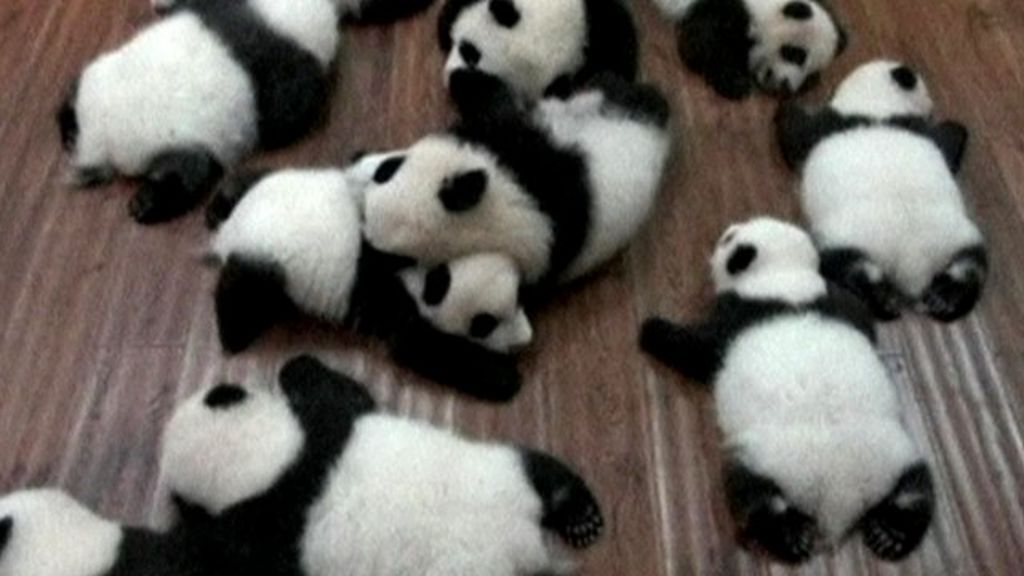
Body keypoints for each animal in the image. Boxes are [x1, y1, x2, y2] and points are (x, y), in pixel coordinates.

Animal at [160, 354, 606, 576]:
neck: (273, 462)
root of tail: (523, 544)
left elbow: (334, 388)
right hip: (502, 474)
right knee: (541, 471)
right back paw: (579, 514)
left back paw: (583, 520)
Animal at [356, 69, 672, 297]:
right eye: (387, 170)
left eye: (397, 258)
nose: (365, 228)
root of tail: (656, 128)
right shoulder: (511, 137)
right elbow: (497, 105)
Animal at [640, 217, 934, 563]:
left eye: (728, 237)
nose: (720, 238)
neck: (783, 275)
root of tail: (838, 495)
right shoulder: (836, 300)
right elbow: (862, 313)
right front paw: (884, 301)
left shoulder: (736, 313)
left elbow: (699, 348)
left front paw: (651, 329)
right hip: (889, 452)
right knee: (915, 483)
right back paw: (892, 530)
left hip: (768, 456)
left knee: (750, 491)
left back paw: (789, 534)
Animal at [650, 0, 847, 99]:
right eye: (796, 54)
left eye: (811, 74)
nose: (785, 85)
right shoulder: (727, 10)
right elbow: (700, 44)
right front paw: (735, 83)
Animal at [775, 59, 987, 322]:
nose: (931, 105)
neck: (875, 105)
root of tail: (912, 265)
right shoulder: (913, 125)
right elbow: (948, 139)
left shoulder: (827, 124)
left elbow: (796, 132)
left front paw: (784, 108)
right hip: (955, 236)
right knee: (971, 264)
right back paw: (944, 297)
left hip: (851, 235)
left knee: (844, 264)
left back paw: (882, 296)